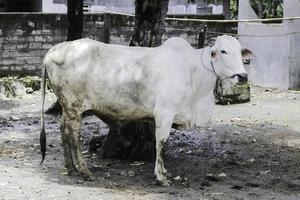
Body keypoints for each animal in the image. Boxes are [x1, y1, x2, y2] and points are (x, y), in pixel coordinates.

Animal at [39, 34, 251, 186]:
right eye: (223, 51)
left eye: (240, 52)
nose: (242, 76)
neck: (194, 72)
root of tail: (54, 50)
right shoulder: (165, 114)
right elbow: (161, 144)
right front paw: (160, 177)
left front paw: (164, 172)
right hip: (74, 107)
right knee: (73, 137)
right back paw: (84, 171)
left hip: (68, 109)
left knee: (64, 132)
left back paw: (71, 168)